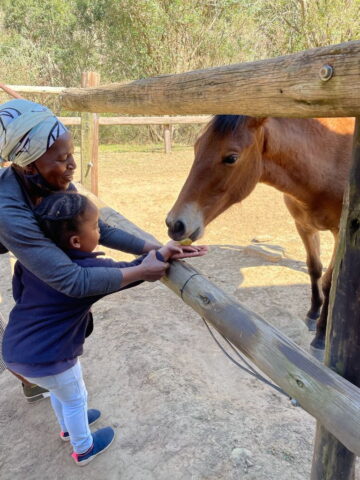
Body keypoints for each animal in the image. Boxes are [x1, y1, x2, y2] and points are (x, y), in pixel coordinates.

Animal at [166, 115, 354, 356]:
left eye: (231, 157)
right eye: (197, 146)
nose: (175, 224)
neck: (330, 163)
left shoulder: (340, 235)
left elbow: (329, 282)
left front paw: (321, 337)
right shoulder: (303, 226)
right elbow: (314, 269)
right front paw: (313, 313)